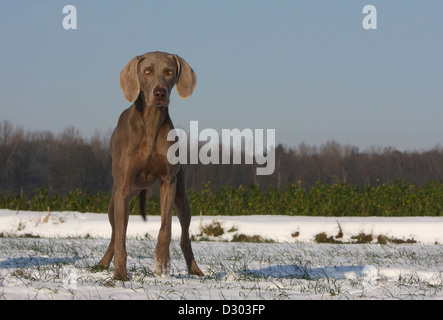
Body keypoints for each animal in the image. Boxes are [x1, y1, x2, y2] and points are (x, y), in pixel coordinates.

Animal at [97, 50, 205, 280]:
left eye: (169, 72)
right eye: (147, 71)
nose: (159, 93)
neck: (150, 123)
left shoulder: (169, 181)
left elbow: (166, 228)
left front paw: (162, 263)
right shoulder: (123, 187)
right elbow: (120, 237)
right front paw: (120, 273)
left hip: (182, 199)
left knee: (185, 236)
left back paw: (195, 270)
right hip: (116, 201)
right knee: (115, 233)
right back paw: (103, 263)